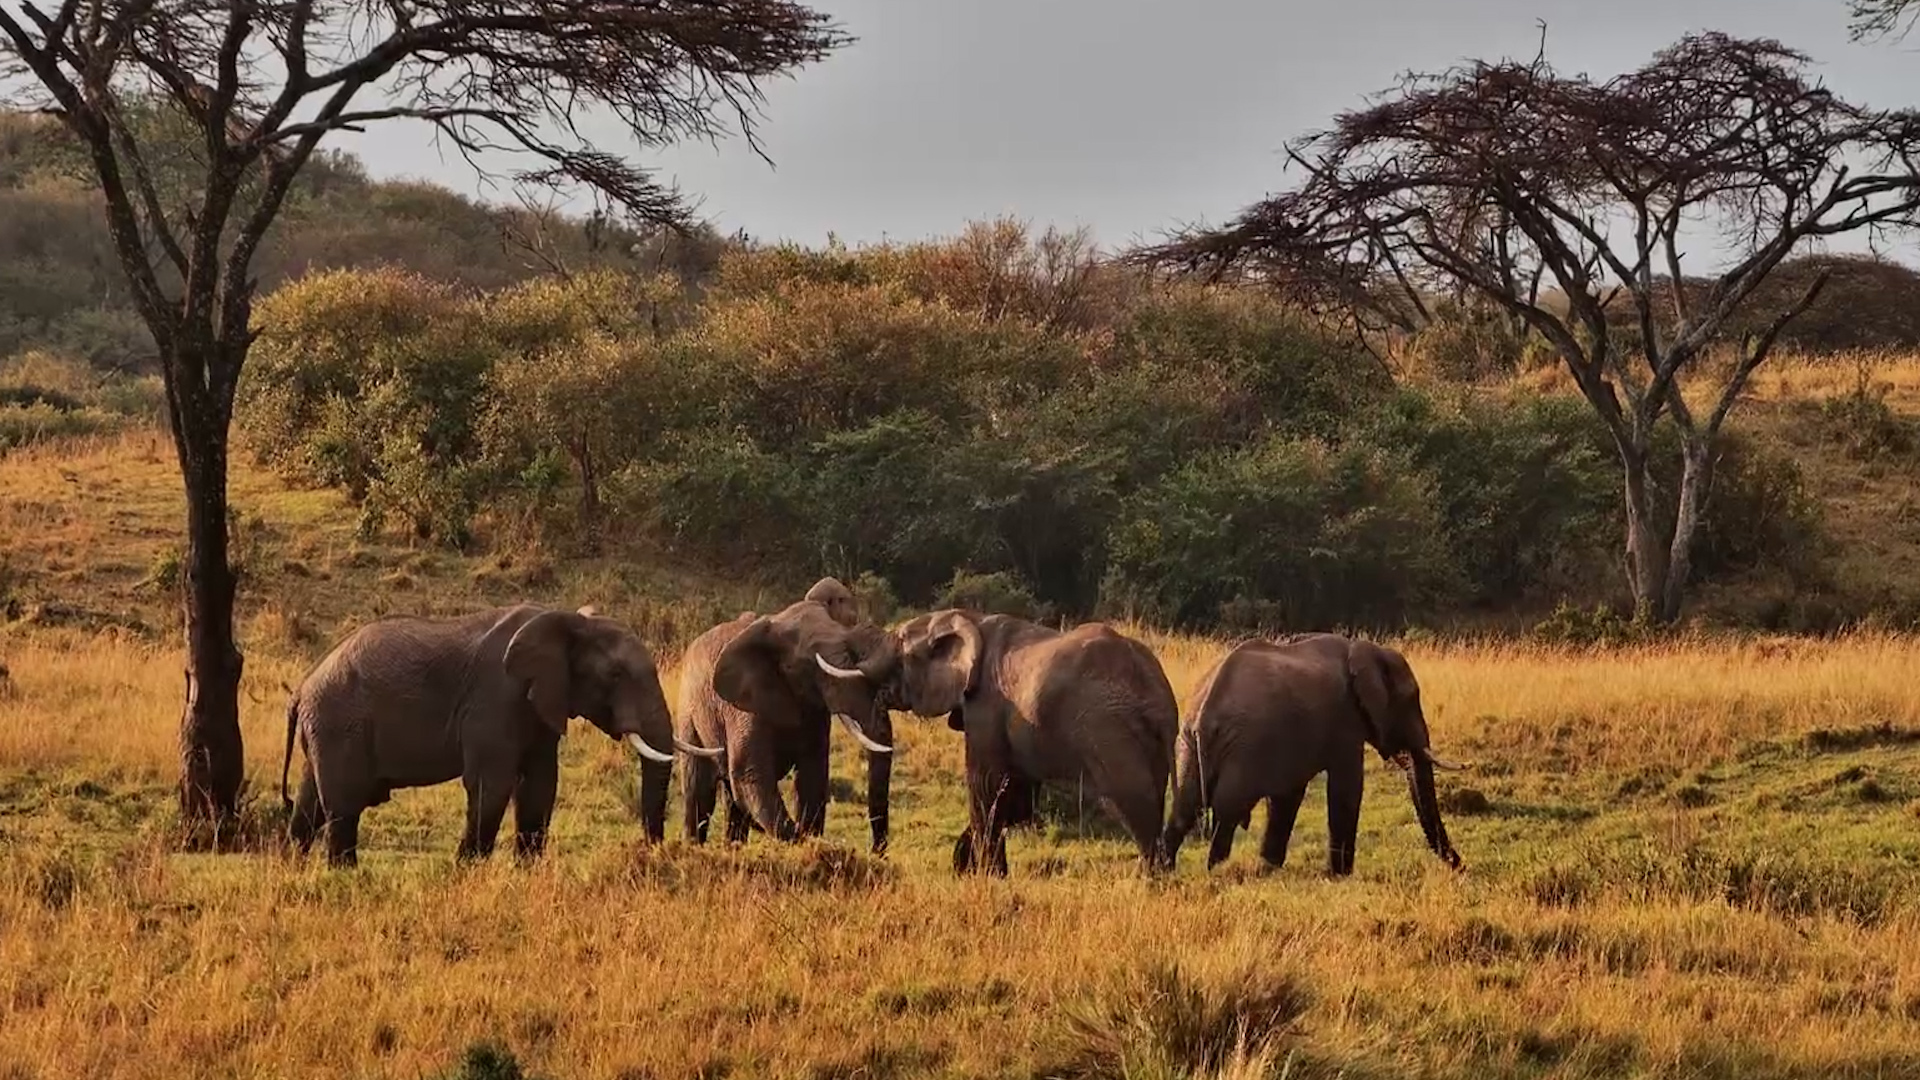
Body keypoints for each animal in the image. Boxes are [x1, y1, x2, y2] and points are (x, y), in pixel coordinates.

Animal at [280, 603, 719, 866]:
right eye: (614, 676)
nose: (653, 848)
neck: (567, 621)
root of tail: (302, 689)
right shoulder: (496, 699)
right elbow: (492, 782)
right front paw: (466, 868)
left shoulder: (540, 703)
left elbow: (541, 783)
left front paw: (528, 870)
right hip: (340, 724)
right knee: (343, 804)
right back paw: (345, 874)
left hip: (326, 729)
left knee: (309, 802)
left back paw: (294, 866)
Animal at [674, 581, 900, 852]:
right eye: (806, 666)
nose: (876, 851)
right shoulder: (746, 707)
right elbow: (751, 774)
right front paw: (804, 843)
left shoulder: (815, 713)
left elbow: (812, 777)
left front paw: (811, 843)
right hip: (688, 712)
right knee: (699, 792)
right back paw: (693, 848)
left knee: (731, 798)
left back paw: (734, 849)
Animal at [818, 609, 1178, 876]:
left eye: (900, 649)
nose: (879, 856)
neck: (969, 620)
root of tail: (1157, 694)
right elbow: (1014, 799)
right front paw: (968, 865)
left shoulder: (987, 706)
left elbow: (986, 786)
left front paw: (987, 875)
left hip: (1109, 730)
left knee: (1133, 803)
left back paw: (1150, 881)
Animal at [1159, 633, 1467, 875]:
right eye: (1410, 701)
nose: (1461, 866)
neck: (1367, 650)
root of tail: (1204, 712)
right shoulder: (1344, 721)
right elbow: (1346, 788)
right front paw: (1340, 875)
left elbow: (1287, 795)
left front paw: (1269, 866)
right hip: (1240, 749)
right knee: (1227, 813)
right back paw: (1216, 871)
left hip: (1187, 744)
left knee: (1184, 809)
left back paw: (1163, 873)